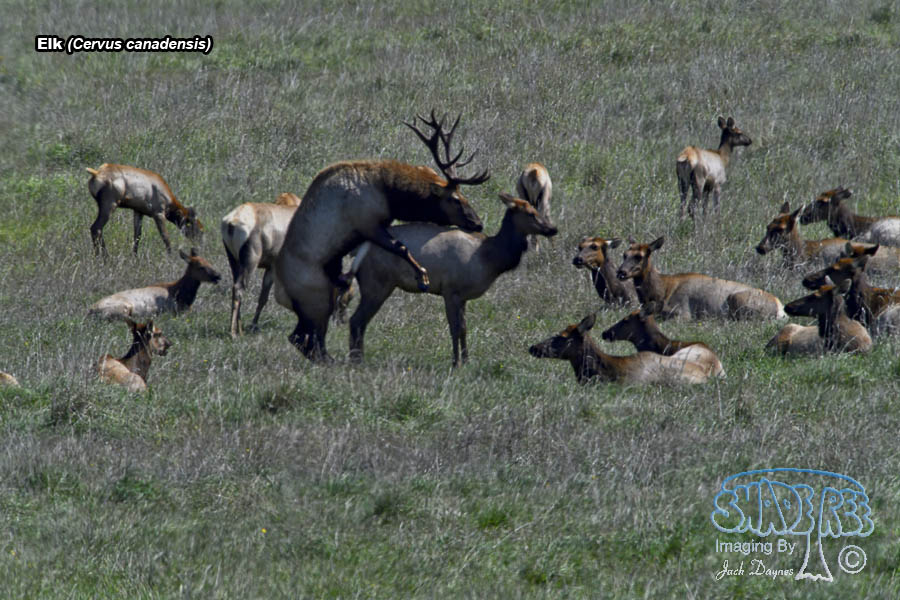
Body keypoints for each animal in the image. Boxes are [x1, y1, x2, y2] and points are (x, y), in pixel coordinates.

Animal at [88, 248, 222, 321]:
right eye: (201, 266)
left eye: (209, 262)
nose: (218, 276)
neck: (183, 296)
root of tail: (90, 311)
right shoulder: (175, 310)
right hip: (124, 307)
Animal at [221, 192, 302, 337]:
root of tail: (233, 221)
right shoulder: (274, 268)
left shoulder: (270, 268)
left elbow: (262, 298)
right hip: (250, 264)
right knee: (238, 288)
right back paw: (233, 333)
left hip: (234, 262)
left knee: (236, 288)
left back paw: (240, 330)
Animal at [274, 110, 489, 362]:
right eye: (455, 199)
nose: (478, 223)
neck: (389, 194)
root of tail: (280, 292)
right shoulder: (368, 224)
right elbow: (401, 247)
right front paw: (422, 276)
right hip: (315, 299)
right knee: (306, 338)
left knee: (301, 338)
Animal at [344, 192, 557, 367]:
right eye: (531, 213)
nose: (553, 228)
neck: (490, 258)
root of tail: (359, 250)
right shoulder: (450, 290)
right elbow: (455, 328)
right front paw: (456, 363)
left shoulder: (462, 297)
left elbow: (464, 328)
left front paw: (466, 360)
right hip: (377, 284)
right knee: (356, 320)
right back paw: (357, 361)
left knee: (359, 321)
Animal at [615, 237, 786, 320]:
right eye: (624, 254)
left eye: (639, 256)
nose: (621, 272)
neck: (660, 292)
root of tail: (780, 308)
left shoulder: (682, 312)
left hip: (738, 300)